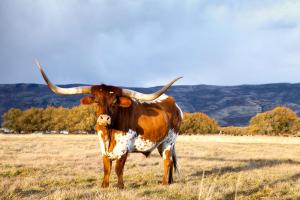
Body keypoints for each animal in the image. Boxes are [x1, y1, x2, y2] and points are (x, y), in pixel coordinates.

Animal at [36, 60, 184, 188]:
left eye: (114, 102)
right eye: (96, 100)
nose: (104, 118)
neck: (109, 132)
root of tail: (174, 104)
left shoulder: (124, 148)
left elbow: (118, 169)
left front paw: (120, 187)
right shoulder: (103, 147)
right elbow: (107, 168)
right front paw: (104, 186)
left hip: (169, 142)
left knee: (167, 161)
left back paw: (164, 183)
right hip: (160, 144)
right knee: (169, 162)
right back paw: (169, 182)